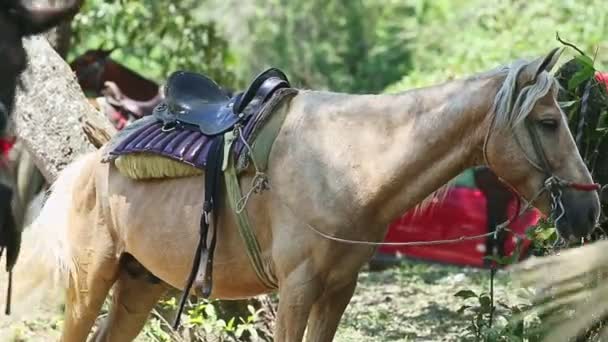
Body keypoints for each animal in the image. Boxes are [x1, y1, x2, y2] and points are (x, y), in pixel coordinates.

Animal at [5, 47, 604, 340]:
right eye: (548, 122)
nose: (588, 208)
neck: (349, 164)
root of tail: (89, 165)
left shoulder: (338, 290)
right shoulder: (297, 288)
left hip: (139, 282)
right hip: (90, 280)